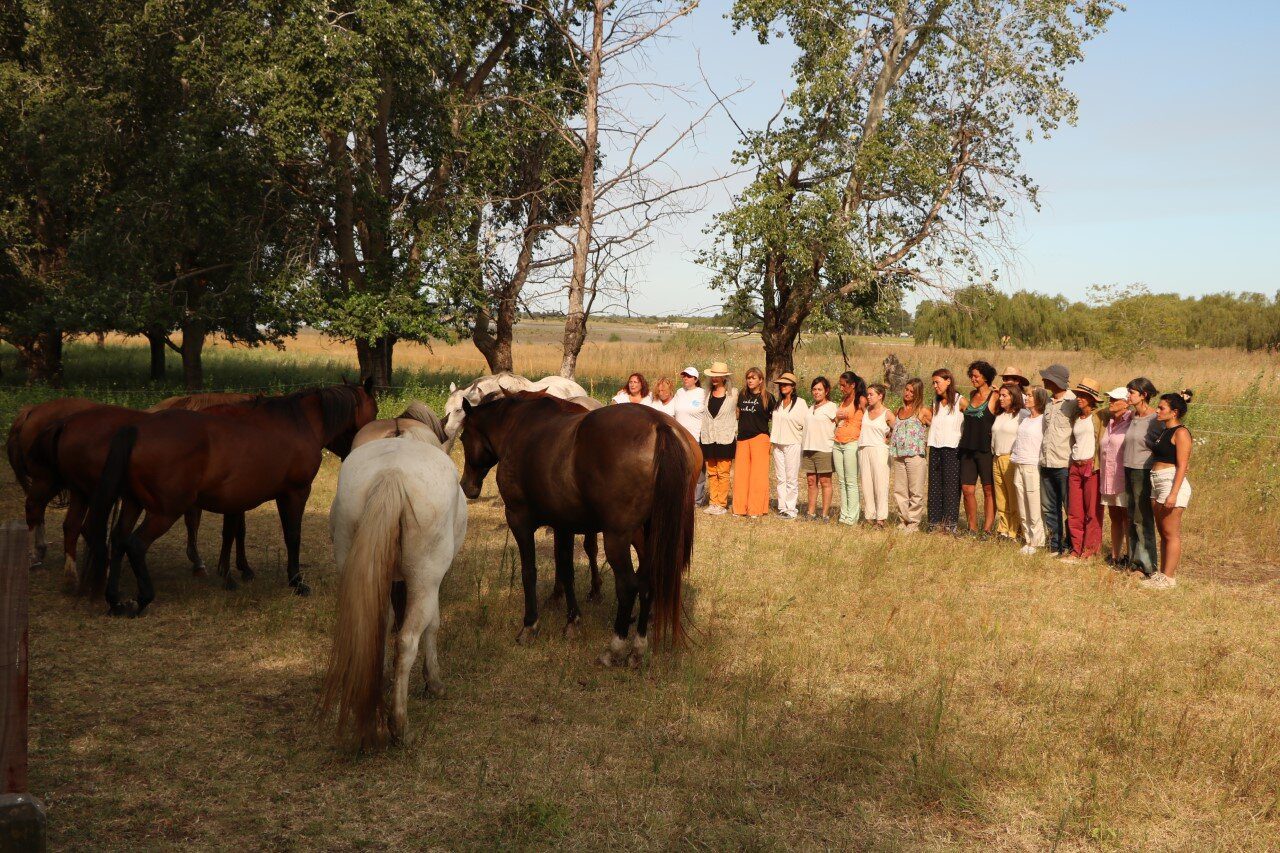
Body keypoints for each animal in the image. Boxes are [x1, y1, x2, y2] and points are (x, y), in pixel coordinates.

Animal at [81, 379, 373, 612]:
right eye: (374, 413)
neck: (298, 423)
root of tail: (137, 428)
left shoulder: (239, 500)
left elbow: (234, 532)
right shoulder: (295, 493)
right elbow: (292, 535)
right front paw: (296, 582)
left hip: (133, 503)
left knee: (118, 540)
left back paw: (115, 599)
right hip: (165, 511)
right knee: (136, 544)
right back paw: (143, 598)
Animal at [322, 422, 468, 742]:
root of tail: (391, 474)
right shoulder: (433, 582)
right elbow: (433, 625)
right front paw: (434, 682)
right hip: (425, 579)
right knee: (407, 641)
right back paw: (400, 726)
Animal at [458, 391, 701, 666]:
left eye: (463, 437)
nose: (466, 485)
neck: (518, 427)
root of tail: (658, 425)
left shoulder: (519, 520)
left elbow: (529, 572)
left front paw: (530, 625)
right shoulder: (563, 524)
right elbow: (566, 569)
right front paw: (572, 621)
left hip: (618, 537)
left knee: (629, 585)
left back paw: (615, 648)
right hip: (651, 536)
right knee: (647, 583)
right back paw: (638, 648)